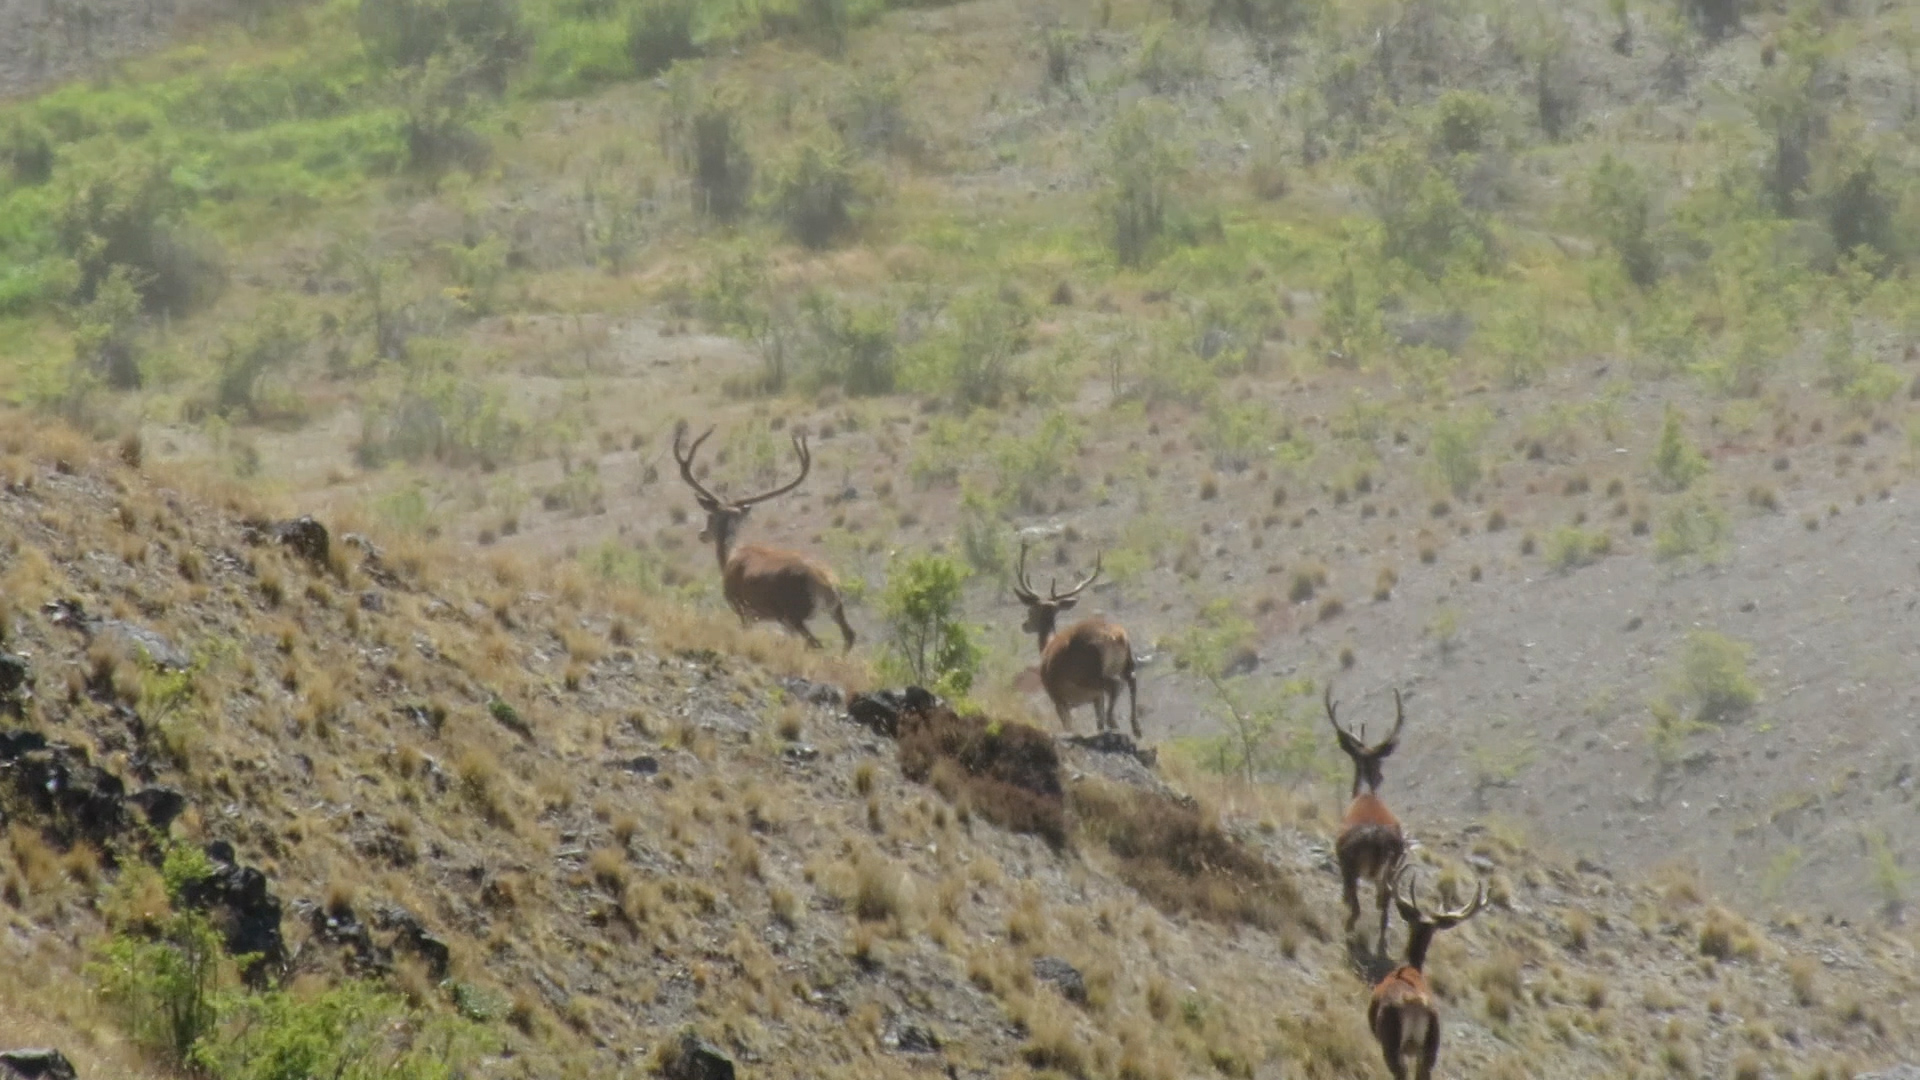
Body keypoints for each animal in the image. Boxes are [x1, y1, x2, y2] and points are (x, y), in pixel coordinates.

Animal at [675, 420, 856, 645]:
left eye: (709, 517)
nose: (702, 534)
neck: (729, 558)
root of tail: (828, 585)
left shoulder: (743, 609)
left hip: (794, 612)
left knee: (817, 643)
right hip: (833, 609)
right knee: (849, 635)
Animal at [1006, 541, 1136, 734]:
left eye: (1031, 610)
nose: (1025, 625)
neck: (1046, 646)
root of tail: (1115, 636)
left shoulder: (1057, 696)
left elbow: (1069, 726)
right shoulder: (1095, 697)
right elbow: (1098, 723)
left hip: (1088, 671)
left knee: (1115, 684)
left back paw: (1114, 720)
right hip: (1126, 660)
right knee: (1131, 679)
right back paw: (1135, 726)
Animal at [1320, 684, 1413, 945]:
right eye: (1377, 763)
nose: (1380, 777)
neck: (1364, 795)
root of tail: (1375, 837)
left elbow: (1348, 896)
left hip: (1350, 861)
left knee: (1358, 905)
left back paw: (1349, 930)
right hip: (1393, 865)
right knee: (1385, 903)